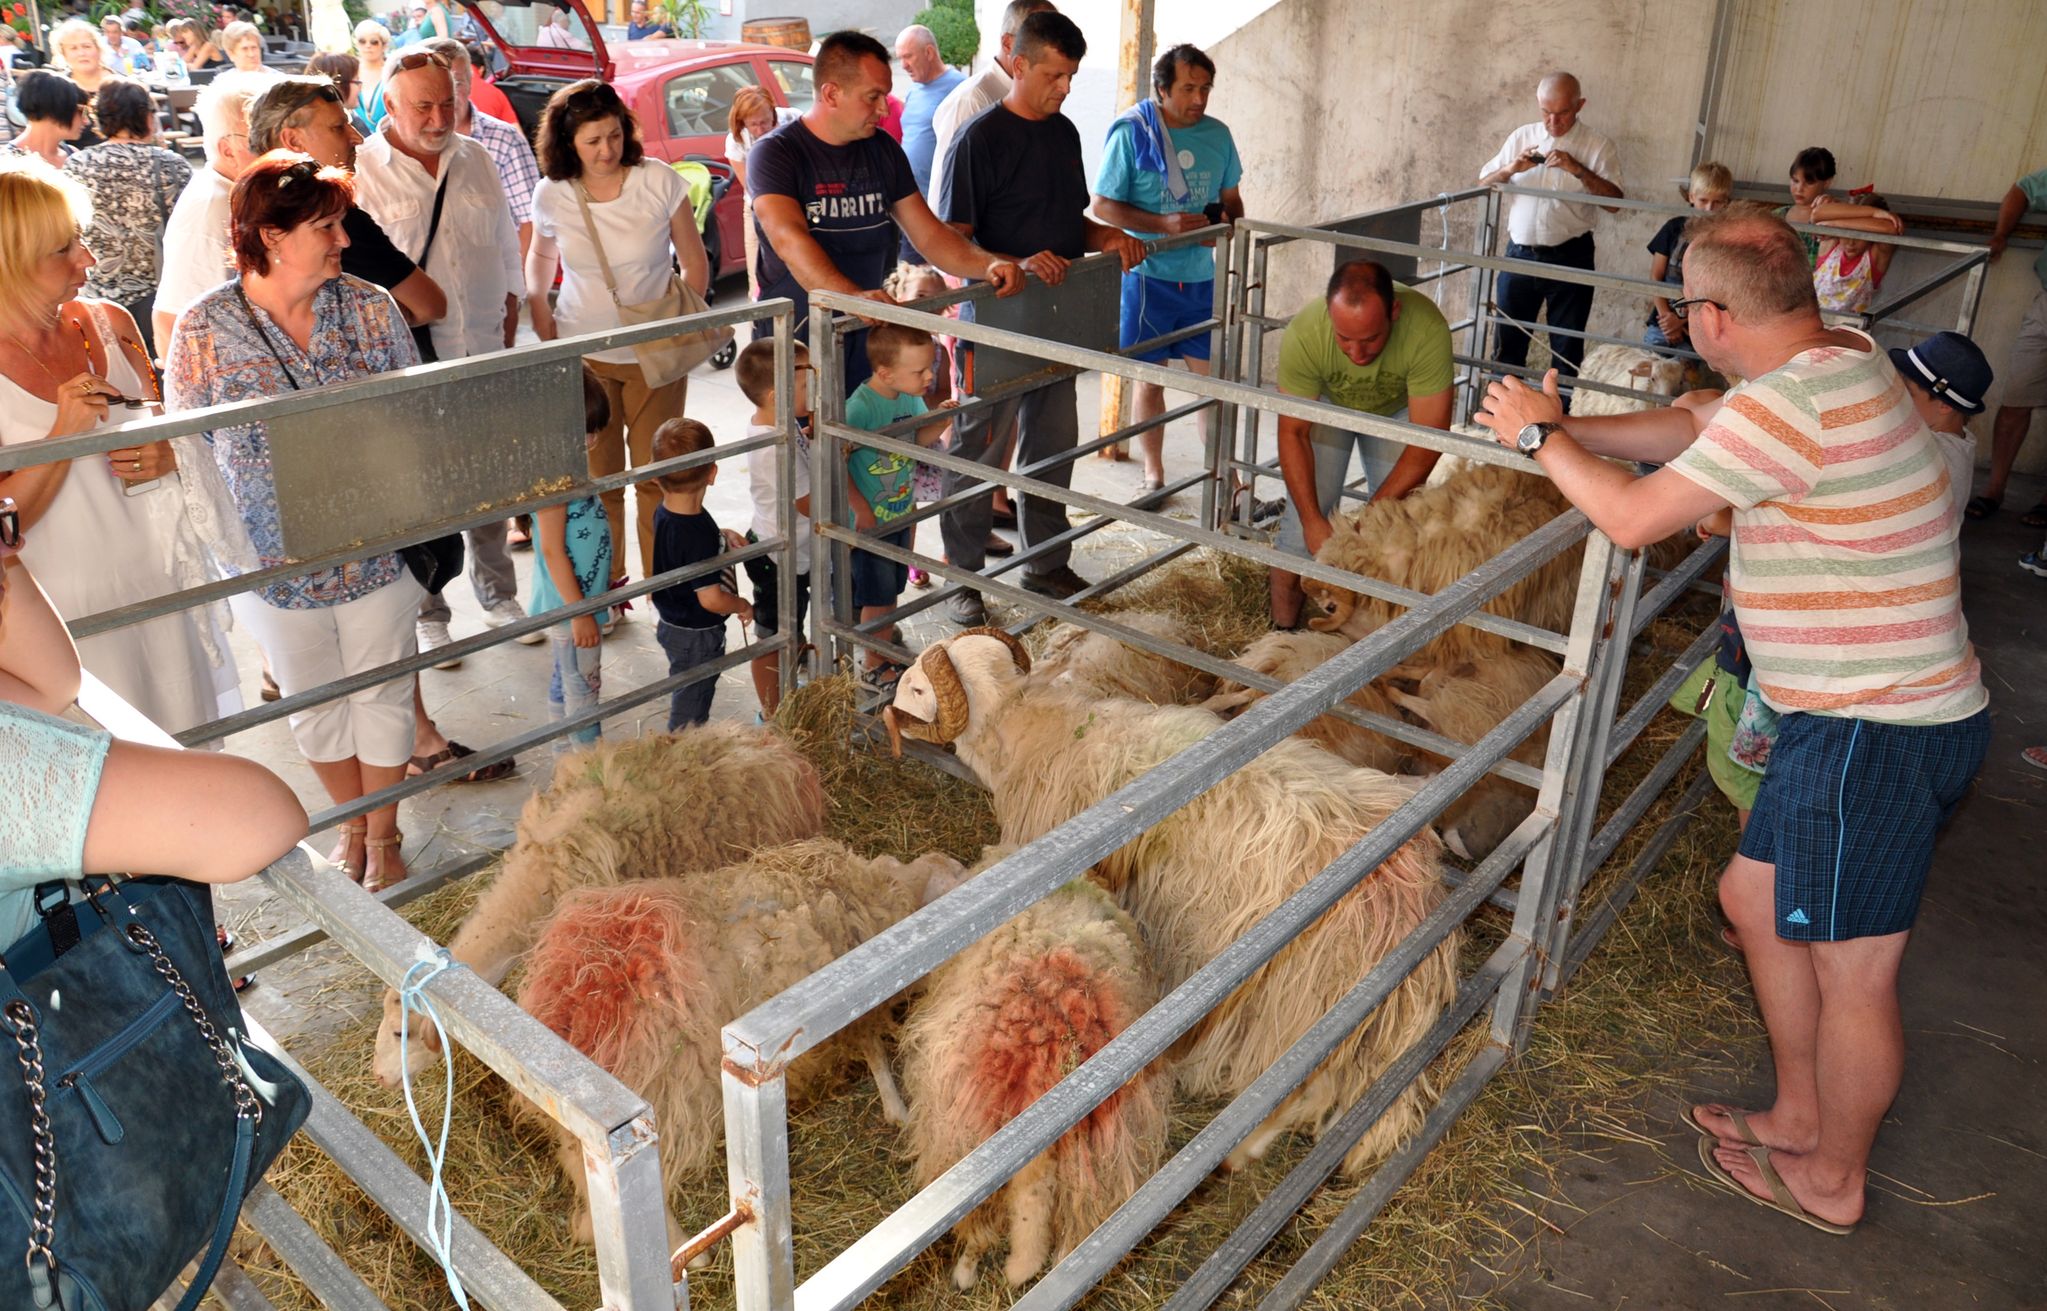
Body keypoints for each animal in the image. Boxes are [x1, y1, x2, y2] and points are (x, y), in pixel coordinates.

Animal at [507, 839, 962, 1245]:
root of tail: (578, 994)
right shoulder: (858, 1009)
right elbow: (876, 1053)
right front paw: (897, 1109)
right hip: (666, 1090)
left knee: (581, 1165)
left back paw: (588, 1229)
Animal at [880, 630, 1457, 1171]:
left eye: (918, 687)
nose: (888, 705)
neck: (1037, 730)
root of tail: (1410, 888)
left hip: (1301, 995)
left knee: (1302, 1083)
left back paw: (1241, 1147)